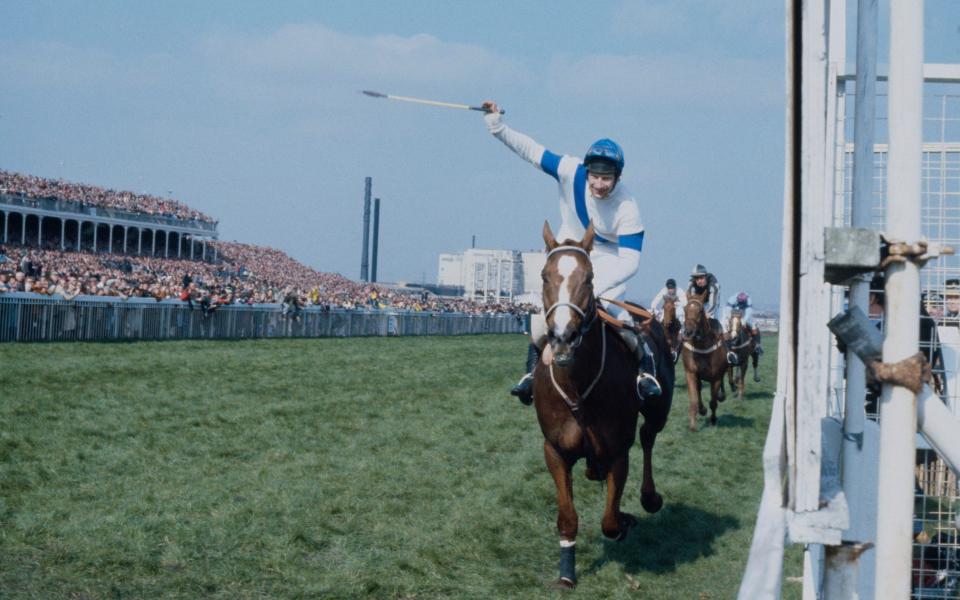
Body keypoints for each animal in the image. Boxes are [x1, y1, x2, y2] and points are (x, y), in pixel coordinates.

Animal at [528, 219, 672, 584]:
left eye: (589, 277)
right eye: (544, 275)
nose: (563, 337)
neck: (578, 388)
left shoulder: (618, 449)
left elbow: (609, 522)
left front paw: (624, 521)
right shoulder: (555, 449)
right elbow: (567, 517)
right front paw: (567, 573)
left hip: (658, 411)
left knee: (648, 438)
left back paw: (649, 498)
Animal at [684, 290, 728, 432]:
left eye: (700, 310)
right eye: (685, 309)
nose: (688, 332)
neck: (702, 346)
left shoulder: (716, 377)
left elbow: (713, 402)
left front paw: (713, 419)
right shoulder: (691, 373)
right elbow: (694, 400)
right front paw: (693, 425)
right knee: (699, 389)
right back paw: (702, 409)